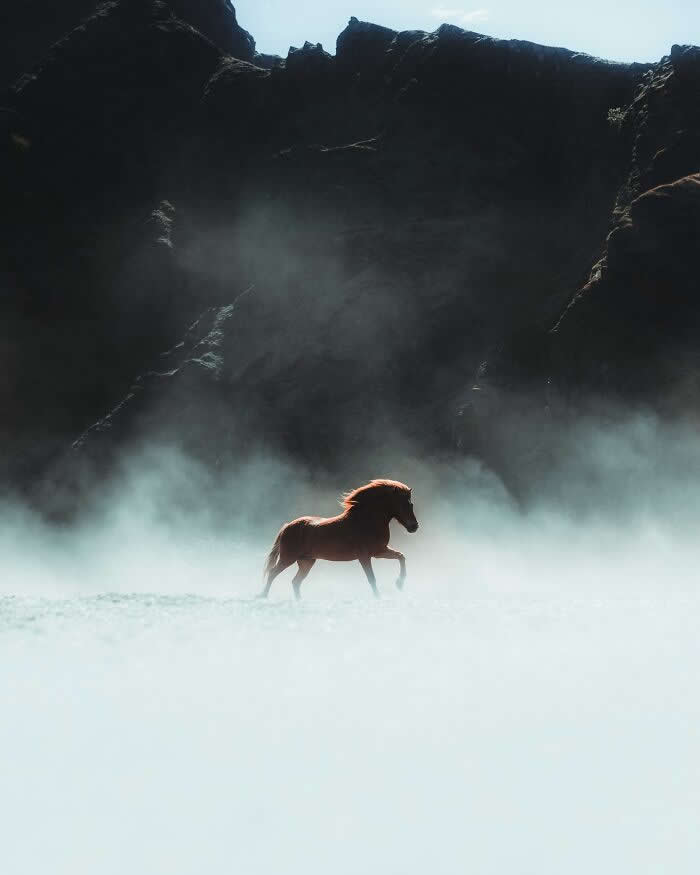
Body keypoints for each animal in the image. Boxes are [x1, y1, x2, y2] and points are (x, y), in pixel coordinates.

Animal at [259, 479, 419, 600]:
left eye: (410, 504)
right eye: (405, 504)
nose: (414, 527)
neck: (366, 520)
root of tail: (287, 526)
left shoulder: (379, 552)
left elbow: (401, 556)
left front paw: (399, 584)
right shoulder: (365, 557)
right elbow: (372, 578)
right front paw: (379, 597)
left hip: (306, 562)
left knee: (295, 582)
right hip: (288, 558)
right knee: (272, 573)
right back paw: (263, 596)